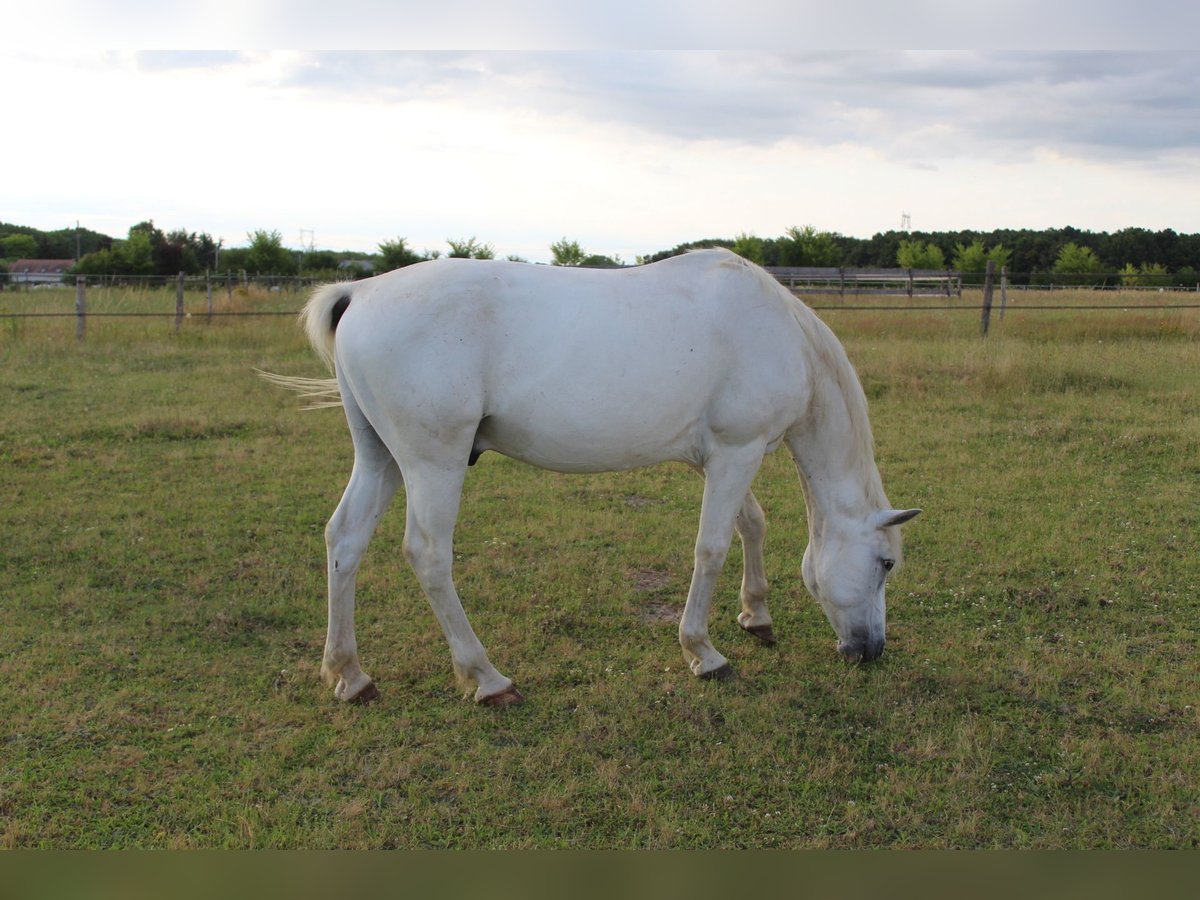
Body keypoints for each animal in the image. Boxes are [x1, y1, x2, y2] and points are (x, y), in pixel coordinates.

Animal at [265, 250, 916, 710]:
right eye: (886, 563)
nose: (872, 651)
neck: (779, 332)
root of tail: (361, 291)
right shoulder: (738, 451)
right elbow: (711, 547)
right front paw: (703, 652)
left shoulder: (721, 457)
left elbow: (750, 523)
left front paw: (756, 616)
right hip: (432, 465)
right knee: (428, 556)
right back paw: (487, 678)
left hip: (381, 459)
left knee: (344, 540)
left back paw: (349, 675)